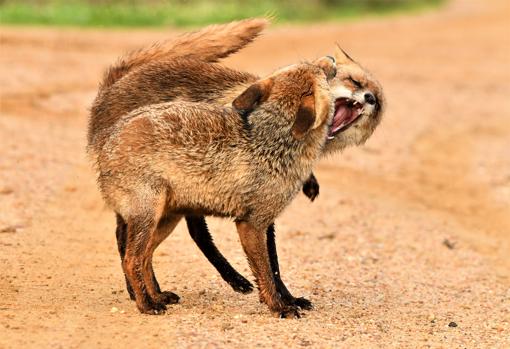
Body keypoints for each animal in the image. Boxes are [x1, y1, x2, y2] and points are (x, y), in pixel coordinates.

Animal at [88, 17, 382, 314]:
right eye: (322, 72)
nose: (330, 58)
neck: (272, 140)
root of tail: (108, 133)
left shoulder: (264, 219)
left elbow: (273, 269)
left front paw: (287, 300)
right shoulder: (251, 223)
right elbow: (267, 271)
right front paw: (280, 307)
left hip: (166, 219)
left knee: (145, 256)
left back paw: (157, 296)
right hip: (149, 216)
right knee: (132, 257)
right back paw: (147, 303)